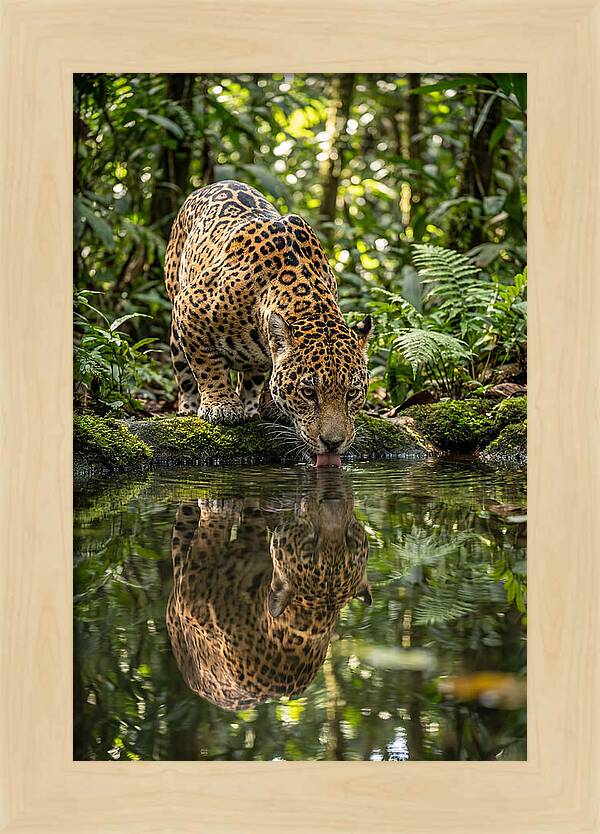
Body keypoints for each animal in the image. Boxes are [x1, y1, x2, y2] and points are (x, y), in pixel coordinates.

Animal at [164, 180, 373, 464]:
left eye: (352, 393)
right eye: (308, 393)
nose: (333, 443)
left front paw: (272, 406)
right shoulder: (189, 307)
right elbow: (207, 365)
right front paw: (222, 406)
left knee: (251, 375)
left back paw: (252, 406)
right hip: (175, 313)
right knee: (184, 372)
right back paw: (188, 407)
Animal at [165, 474, 371, 711]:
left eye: (350, 540)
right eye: (310, 544)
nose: (333, 500)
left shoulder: (192, 592)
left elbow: (211, 535)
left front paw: (219, 506)